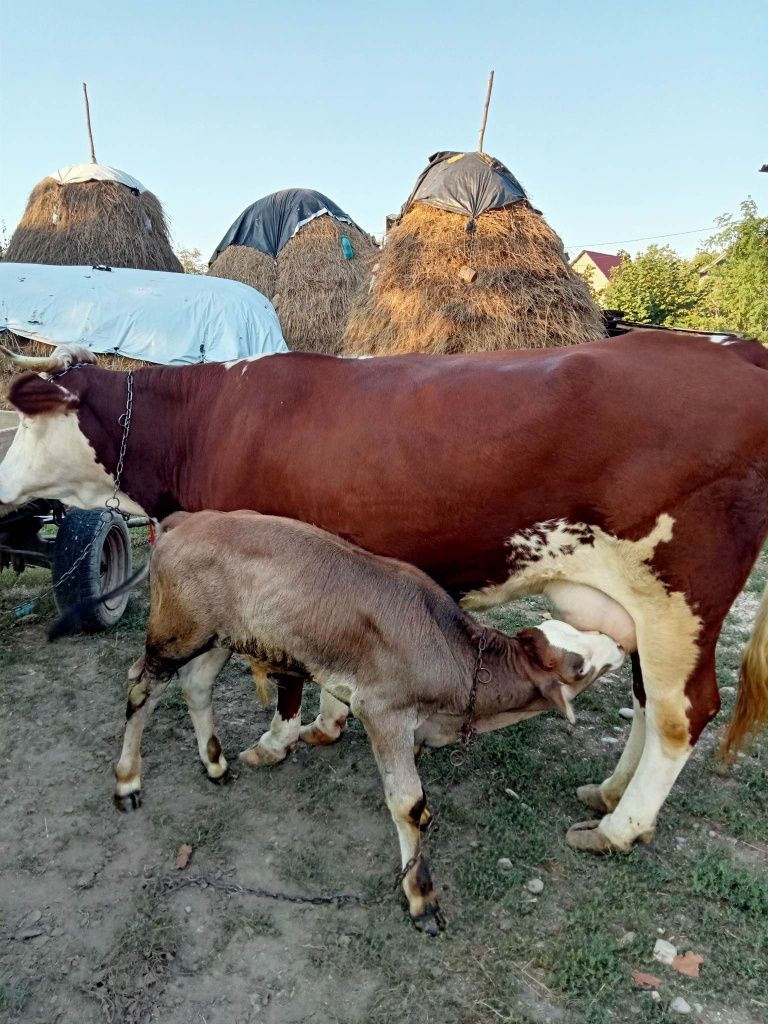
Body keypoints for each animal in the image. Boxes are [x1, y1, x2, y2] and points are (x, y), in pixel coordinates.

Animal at [1, 335, 768, 856]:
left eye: (26, 425)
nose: (1, 485)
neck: (209, 420)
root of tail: (734, 348)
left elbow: (284, 673)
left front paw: (278, 740)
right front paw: (329, 721)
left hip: (679, 598)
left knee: (683, 713)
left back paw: (618, 825)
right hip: (637, 608)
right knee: (647, 699)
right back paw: (608, 790)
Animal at [105, 507, 626, 933]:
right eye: (579, 666)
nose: (621, 644)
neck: (453, 657)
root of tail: (188, 520)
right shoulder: (382, 710)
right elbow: (408, 804)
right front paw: (421, 899)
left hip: (218, 637)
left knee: (196, 685)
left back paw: (214, 763)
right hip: (175, 633)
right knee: (140, 690)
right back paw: (128, 782)